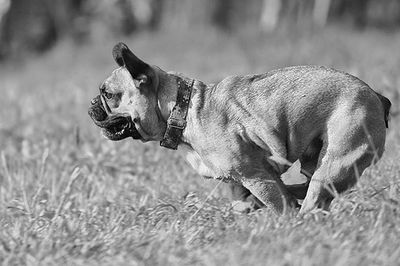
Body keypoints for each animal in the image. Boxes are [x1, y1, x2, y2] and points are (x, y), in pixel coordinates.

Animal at [87, 43, 390, 214]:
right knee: (306, 188)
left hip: (335, 162)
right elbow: (243, 198)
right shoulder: (240, 180)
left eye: (109, 94)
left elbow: (278, 205)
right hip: (314, 160)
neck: (183, 110)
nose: (91, 104)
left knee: (311, 200)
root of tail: (376, 96)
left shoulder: (255, 175)